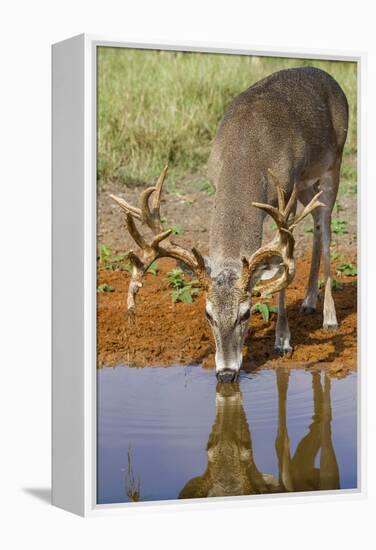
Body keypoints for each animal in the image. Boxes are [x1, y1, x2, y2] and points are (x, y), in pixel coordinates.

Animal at [111, 67, 350, 382]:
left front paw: (282, 341)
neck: (247, 152)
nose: (226, 373)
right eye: (208, 314)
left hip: (333, 163)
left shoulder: (286, 193)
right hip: (307, 184)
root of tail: (327, 75)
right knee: (317, 224)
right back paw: (309, 301)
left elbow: (282, 266)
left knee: (326, 230)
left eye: (246, 313)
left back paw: (329, 318)